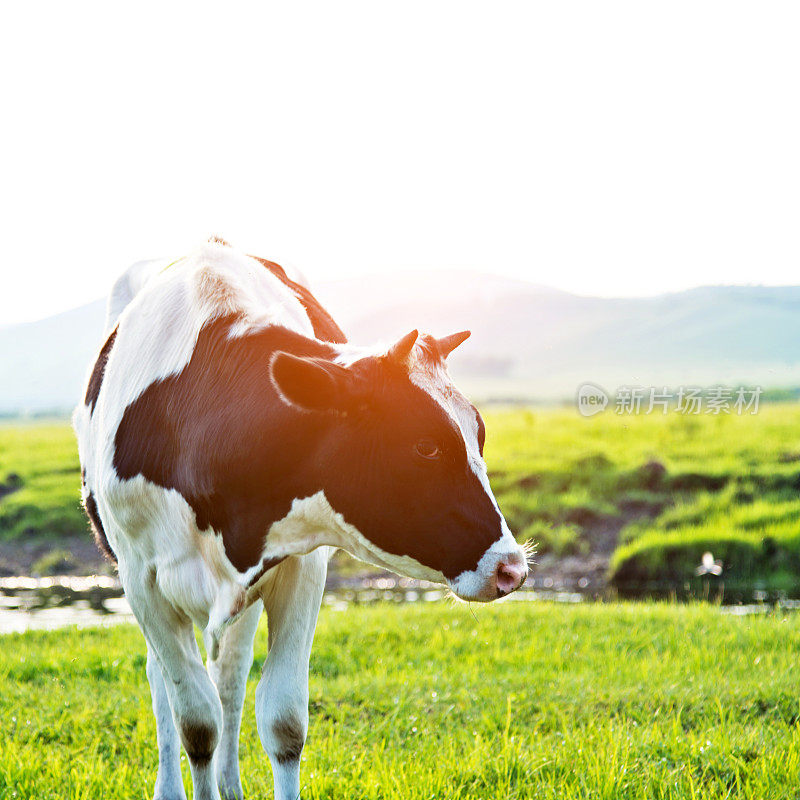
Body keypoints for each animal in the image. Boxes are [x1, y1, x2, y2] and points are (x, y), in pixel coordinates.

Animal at [72, 241, 528, 800]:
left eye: (479, 434)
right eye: (425, 446)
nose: (511, 567)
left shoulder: (300, 568)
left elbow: (282, 721)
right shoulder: (143, 580)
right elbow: (196, 723)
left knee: (229, 677)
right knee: (167, 685)